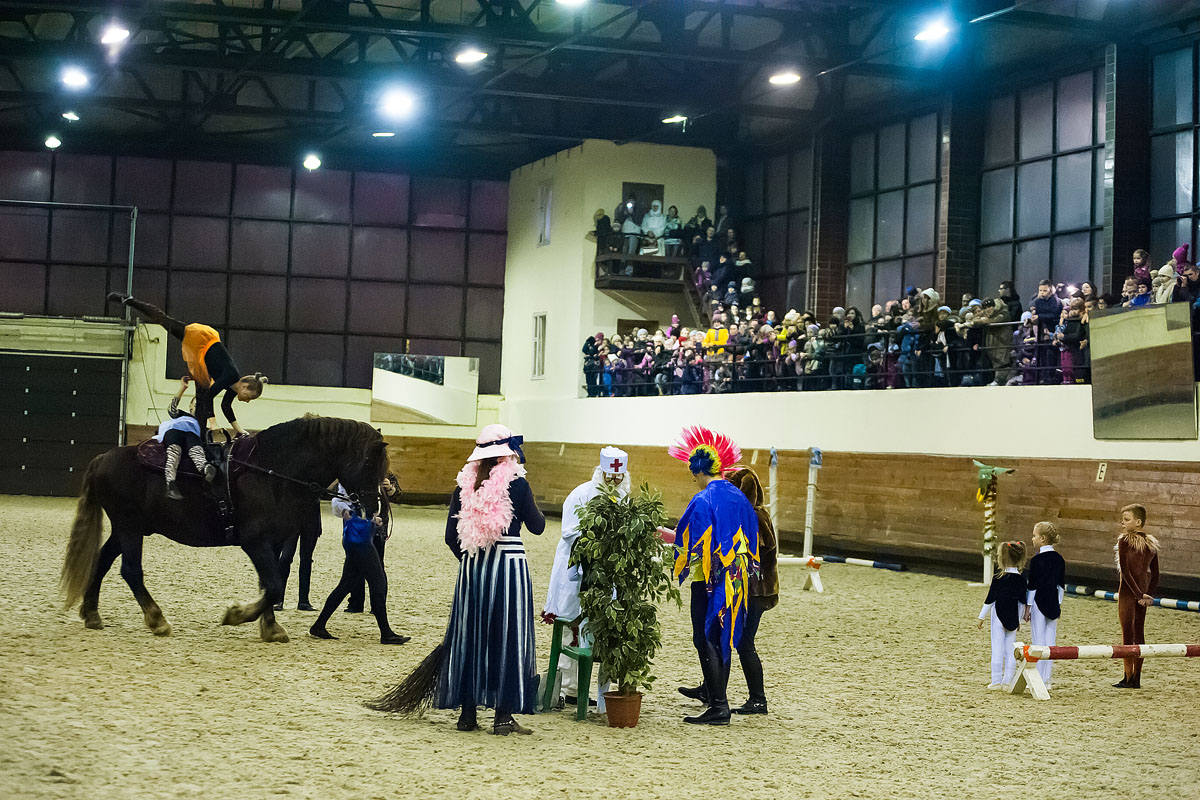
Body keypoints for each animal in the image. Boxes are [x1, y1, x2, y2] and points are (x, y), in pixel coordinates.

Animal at [60, 416, 390, 643]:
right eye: (369, 463)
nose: (373, 505)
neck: (273, 470)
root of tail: (102, 459)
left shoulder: (270, 544)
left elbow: (269, 583)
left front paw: (270, 627)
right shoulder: (255, 542)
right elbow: (273, 585)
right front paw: (238, 615)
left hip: (129, 528)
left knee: (102, 561)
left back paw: (92, 614)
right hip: (129, 528)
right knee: (130, 571)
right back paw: (157, 620)